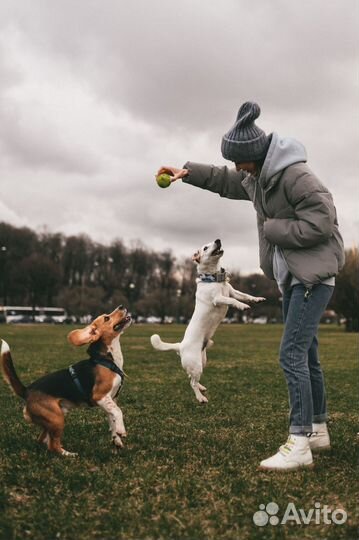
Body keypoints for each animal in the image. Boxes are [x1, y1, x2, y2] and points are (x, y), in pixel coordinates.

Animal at [0, 306, 132, 454]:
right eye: (106, 318)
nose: (122, 306)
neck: (107, 359)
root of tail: (27, 391)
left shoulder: (111, 399)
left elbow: (113, 419)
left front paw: (117, 440)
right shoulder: (100, 396)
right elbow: (118, 411)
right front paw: (121, 431)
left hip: (54, 417)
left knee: (43, 440)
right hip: (57, 419)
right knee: (53, 446)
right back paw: (69, 454)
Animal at [150, 238, 266, 402]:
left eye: (213, 242)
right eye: (205, 247)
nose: (218, 240)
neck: (214, 279)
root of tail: (180, 346)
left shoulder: (233, 292)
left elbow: (244, 295)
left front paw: (256, 299)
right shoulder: (218, 298)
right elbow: (233, 301)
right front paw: (242, 306)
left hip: (202, 361)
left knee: (191, 377)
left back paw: (201, 388)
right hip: (196, 364)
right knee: (192, 382)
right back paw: (200, 398)